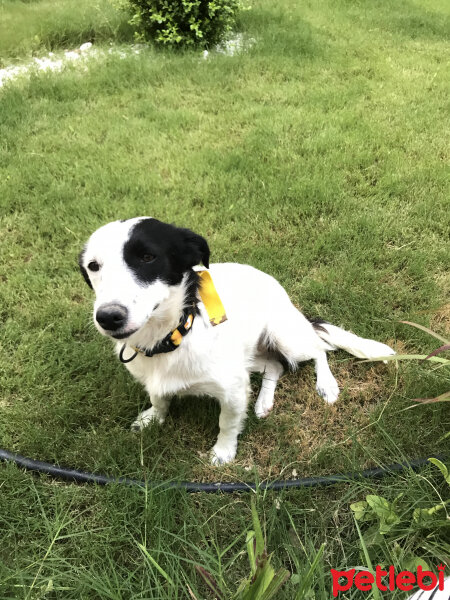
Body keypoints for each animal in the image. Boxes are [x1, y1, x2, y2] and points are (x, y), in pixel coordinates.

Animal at [79, 216, 396, 464]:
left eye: (147, 257)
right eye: (93, 266)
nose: (108, 317)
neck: (171, 336)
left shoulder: (232, 389)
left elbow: (227, 423)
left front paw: (223, 452)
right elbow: (158, 398)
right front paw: (152, 418)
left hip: (285, 337)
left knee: (320, 348)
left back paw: (326, 385)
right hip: (251, 356)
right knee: (275, 366)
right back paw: (264, 402)